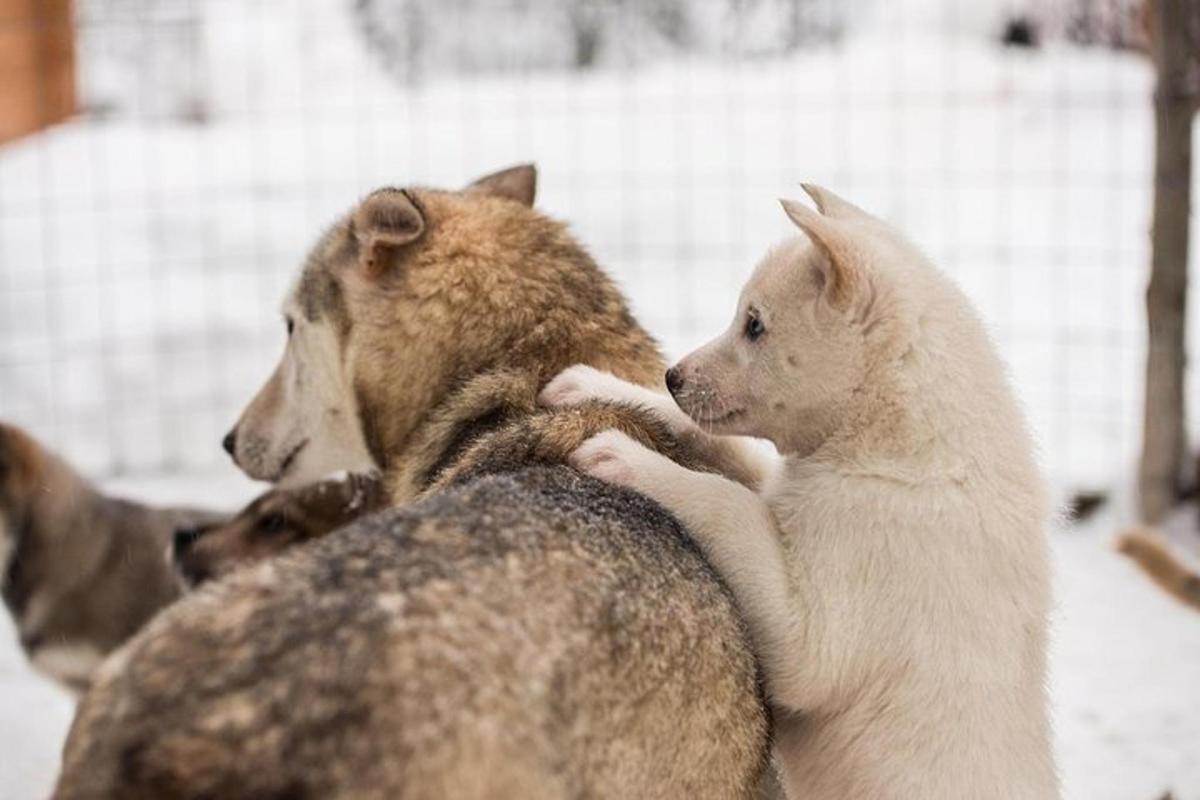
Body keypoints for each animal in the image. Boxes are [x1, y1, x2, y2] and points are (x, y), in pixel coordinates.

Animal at [544, 185, 1060, 800]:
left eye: (755, 325)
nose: (672, 376)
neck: (900, 439)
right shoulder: (779, 482)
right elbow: (718, 449)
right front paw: (598, 385)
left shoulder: (813, 634)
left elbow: (727, 502)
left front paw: (622, 455)